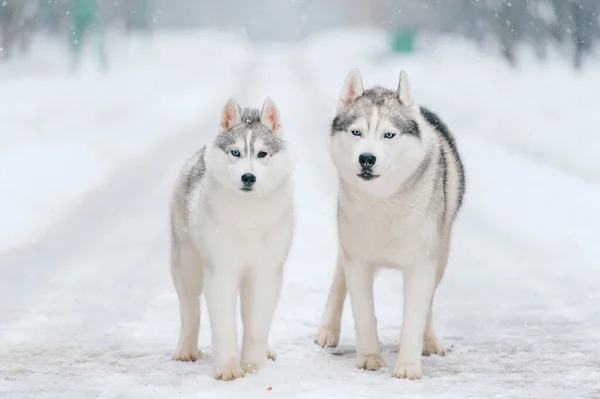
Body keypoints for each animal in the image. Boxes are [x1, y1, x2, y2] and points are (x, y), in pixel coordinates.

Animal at [170, 97, 294, 382]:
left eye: (261, 154)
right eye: (235, 153)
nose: (248, 177)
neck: (247, 219)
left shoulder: (265, 272)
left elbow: (256, 325)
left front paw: (253, 367)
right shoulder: (221, 272)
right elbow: (224, 327)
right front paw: (228, 369)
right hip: (186, 266)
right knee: (190, 312)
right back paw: (185, 350)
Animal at [314, 69, 464, 382]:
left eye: (388, 134)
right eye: (356, 132)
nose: (367, 158)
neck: (382, 201)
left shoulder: (422, 265)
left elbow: (414, 318)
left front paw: (408, 367)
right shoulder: (357, 261)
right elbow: (364, 314)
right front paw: (370, 358)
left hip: (441, 257)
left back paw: (430, 342)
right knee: (338, 283)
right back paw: (327, 330)